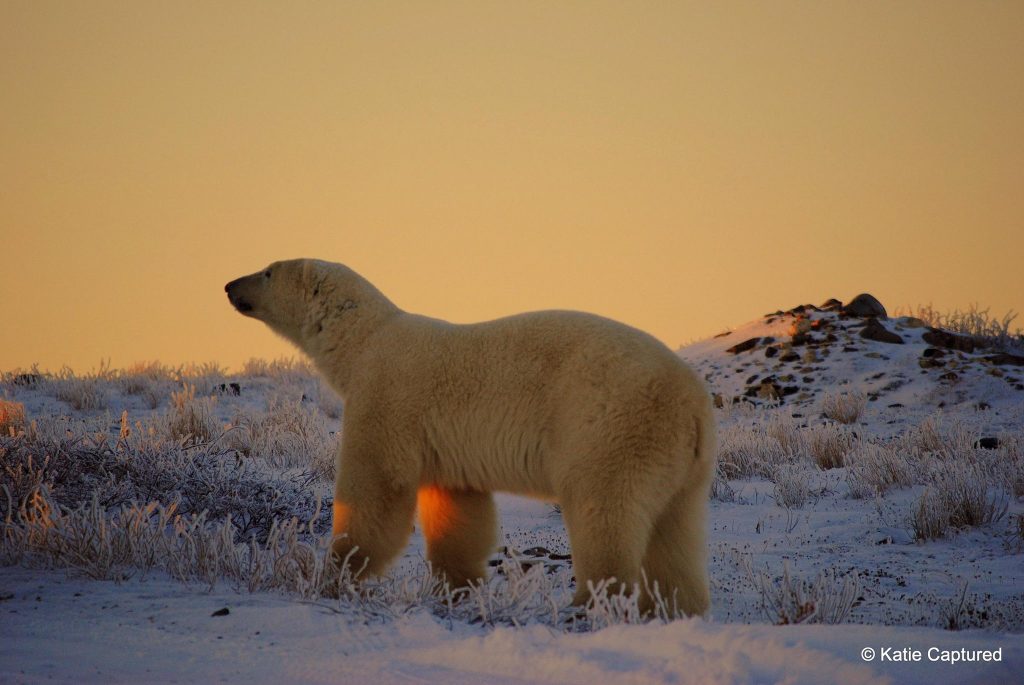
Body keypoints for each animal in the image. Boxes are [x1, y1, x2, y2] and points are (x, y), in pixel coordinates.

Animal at [225, 258, 716, 616]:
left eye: (267, 270)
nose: (230, 285)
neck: (363, 340)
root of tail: (692, 403)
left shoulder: (387, 398)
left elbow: (375, 487)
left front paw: (337, 573)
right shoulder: (445, 443)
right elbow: (457, 510)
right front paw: (457, 589)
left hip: (610, 426)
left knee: (604, 510)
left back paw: (586, 605)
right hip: (683, 464)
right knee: (676, 531)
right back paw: (674, 610)